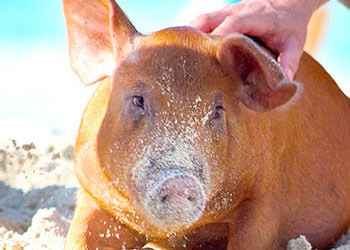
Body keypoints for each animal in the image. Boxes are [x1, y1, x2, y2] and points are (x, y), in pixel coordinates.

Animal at [63, 0, 350, 250]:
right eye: (138, 100)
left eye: (216, 111)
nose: (179, 180)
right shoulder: (92, 192)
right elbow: (81, 236)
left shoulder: (265, 199)